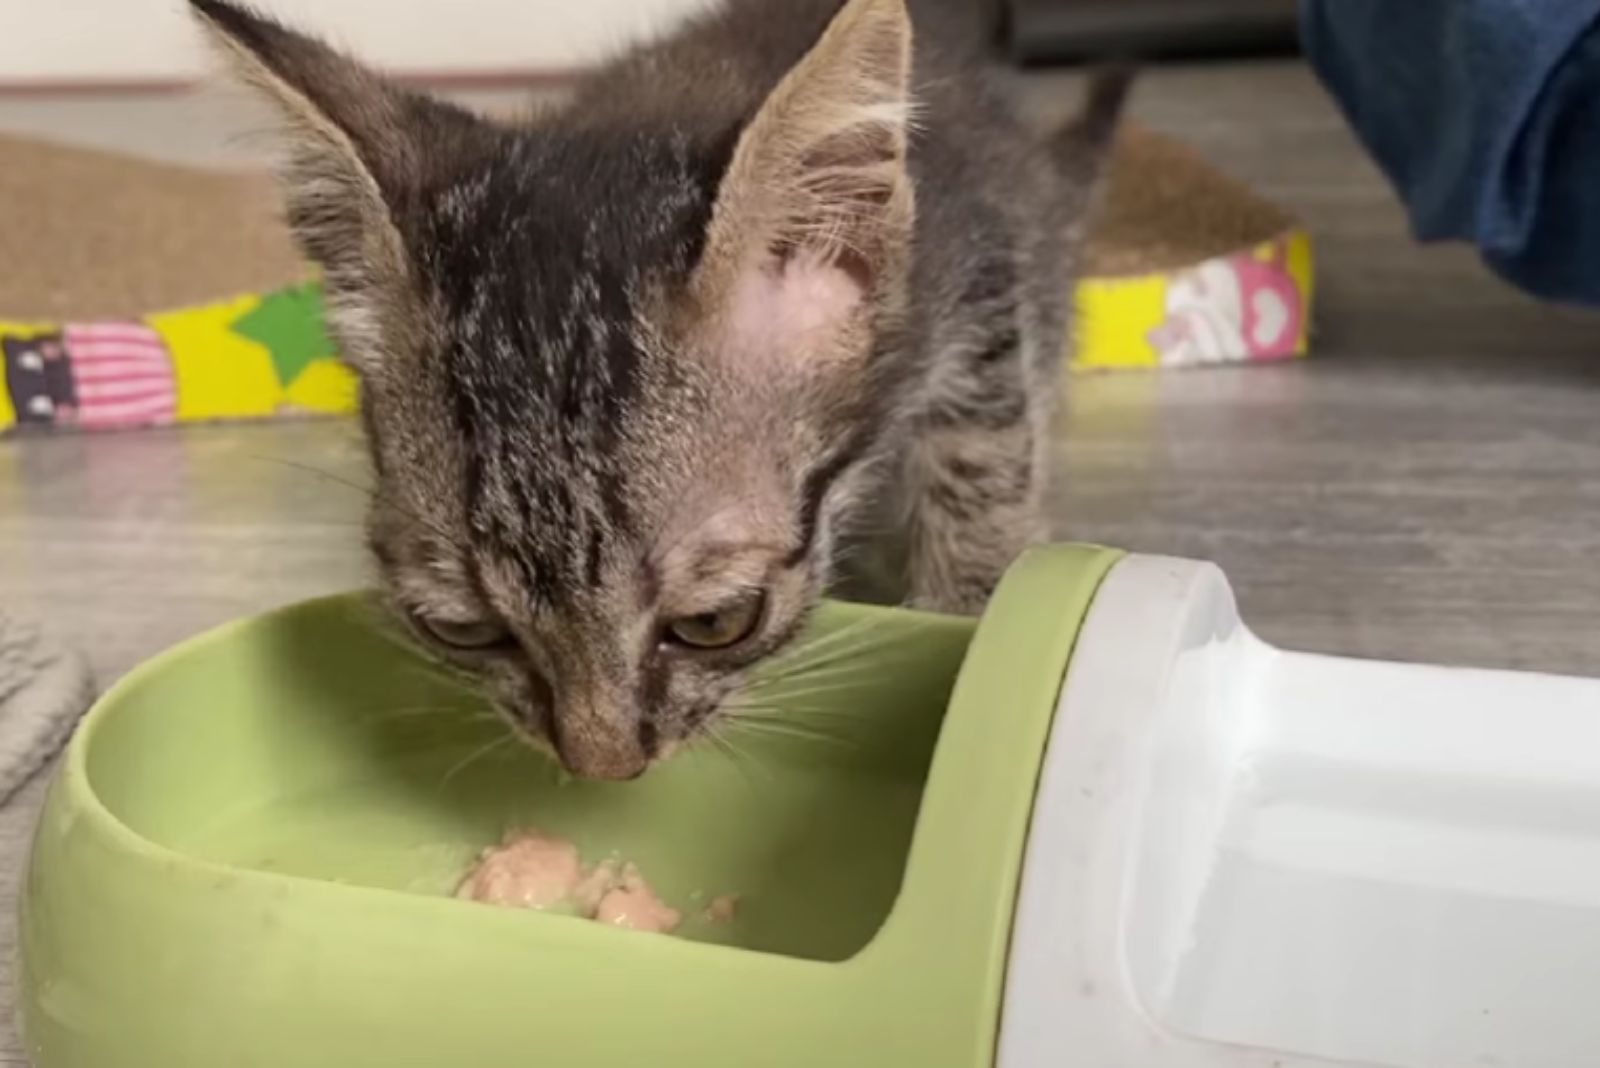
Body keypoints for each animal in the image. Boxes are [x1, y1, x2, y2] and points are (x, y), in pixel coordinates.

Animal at [196, 0, 1126, 777]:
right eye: (460, 628)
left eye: (717, 622)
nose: (603, 766)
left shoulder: (974, 285)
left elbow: (979, 462)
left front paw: (969, 609)